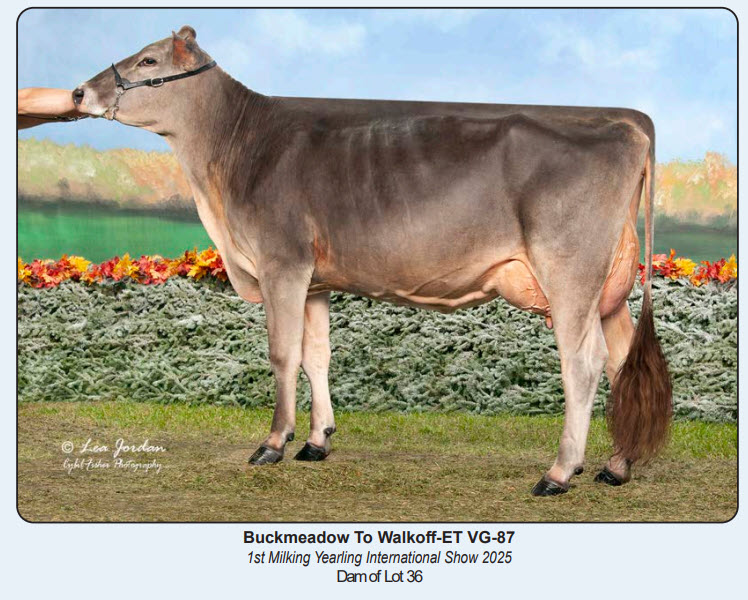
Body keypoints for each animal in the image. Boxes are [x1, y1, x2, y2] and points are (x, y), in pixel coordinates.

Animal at [73, 26, 672, 496]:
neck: (234, 154)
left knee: (584, 362)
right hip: (609, 287)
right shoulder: (314, 280)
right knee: (623, 361)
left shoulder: (281, 262)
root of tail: (624, 120)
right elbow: (316, 356)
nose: (79, 90)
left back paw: (559, 472)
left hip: (570, 274)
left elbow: (282, 355)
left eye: (148, 60)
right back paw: (616, 466)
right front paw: (317, 440)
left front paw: (273, 442)